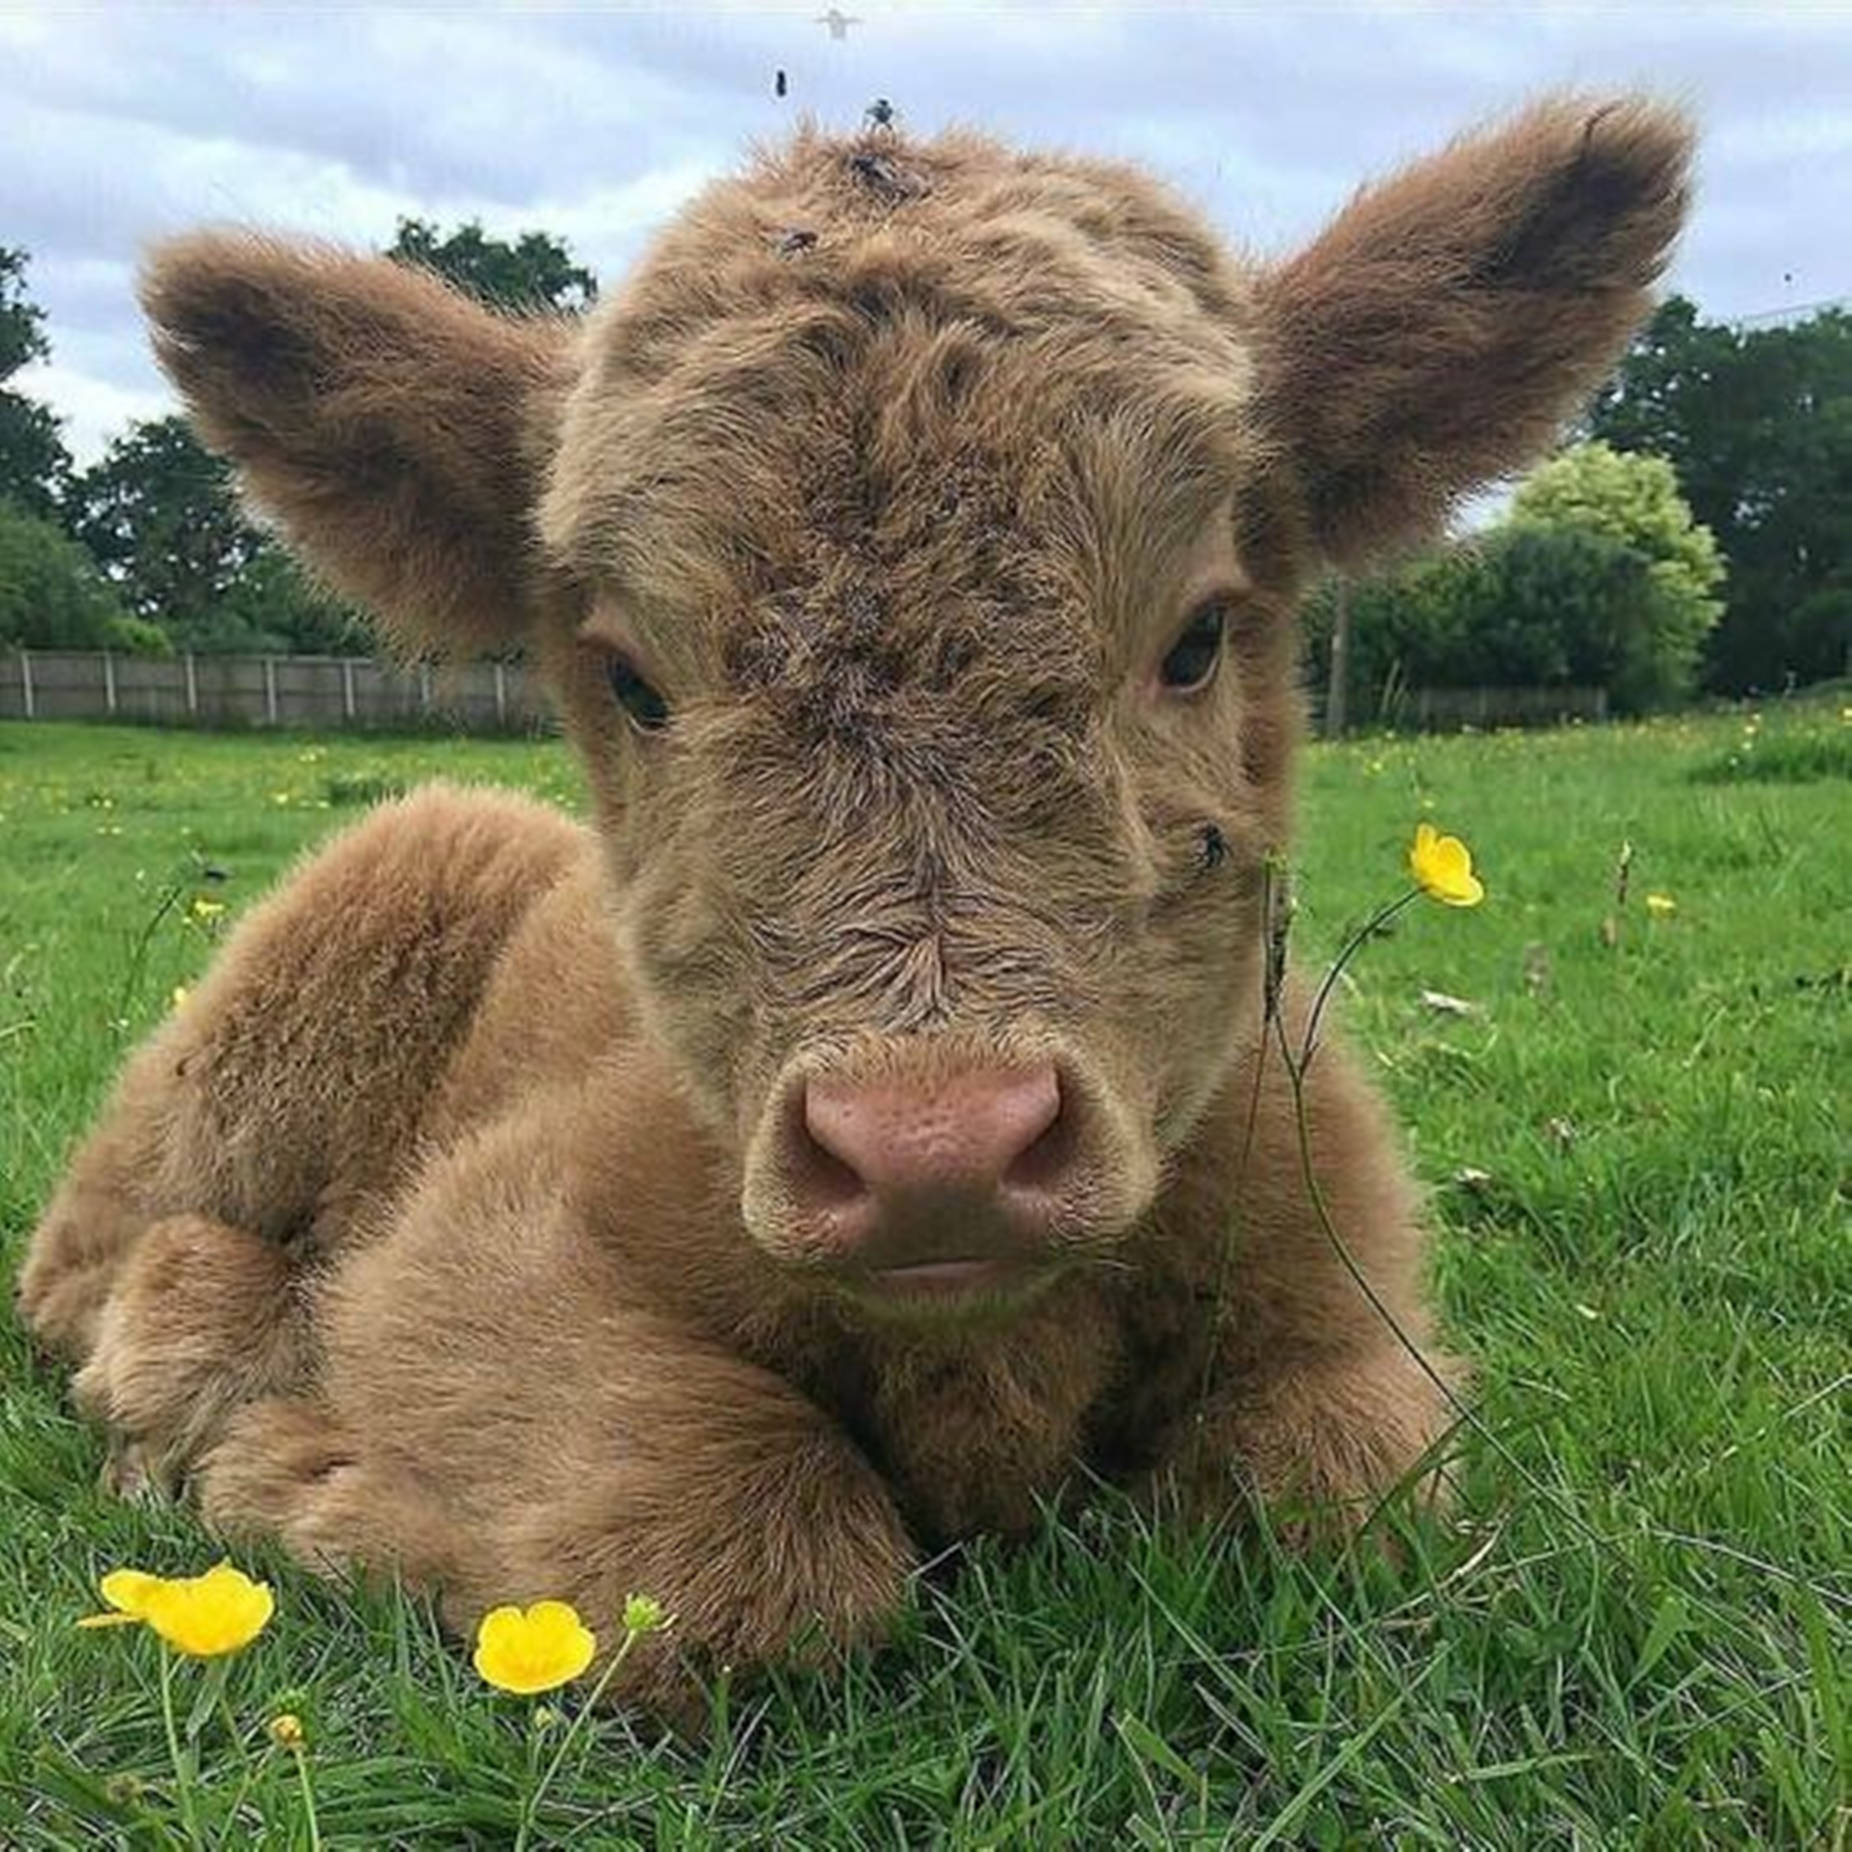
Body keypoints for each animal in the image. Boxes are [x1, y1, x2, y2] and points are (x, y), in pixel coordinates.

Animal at [18, 97, 1696, 1718]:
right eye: (634, 680)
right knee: (91, 1260)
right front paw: (302, 1469)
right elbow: (743, 1538)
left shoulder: (1348, 1302)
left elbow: (1343, 1496)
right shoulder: (463, 1255)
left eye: (1198, 638)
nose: (934, 1152)